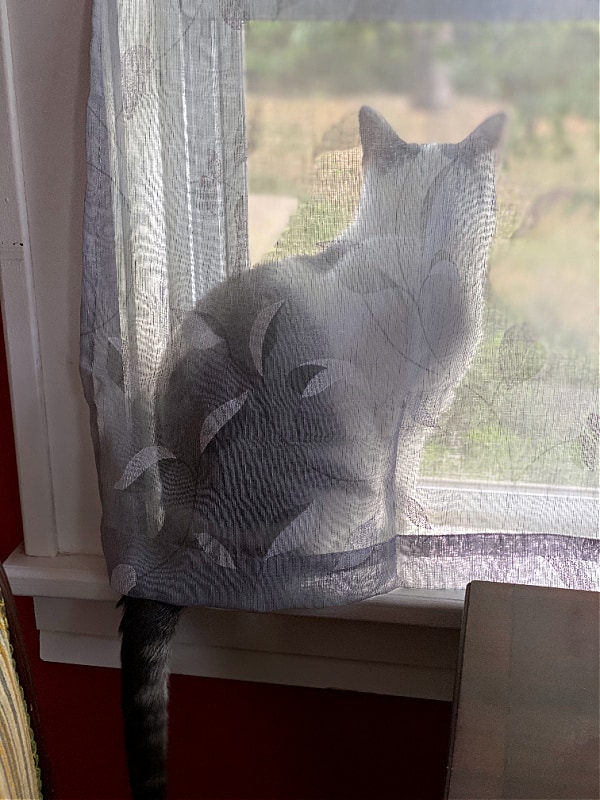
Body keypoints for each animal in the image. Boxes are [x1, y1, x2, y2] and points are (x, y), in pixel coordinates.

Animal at [119, 106, 504, 800]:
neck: (414, 247)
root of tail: (174, 523)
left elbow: (406, 480)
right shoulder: (405, 416)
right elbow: (401, 478)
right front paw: (409, 528)